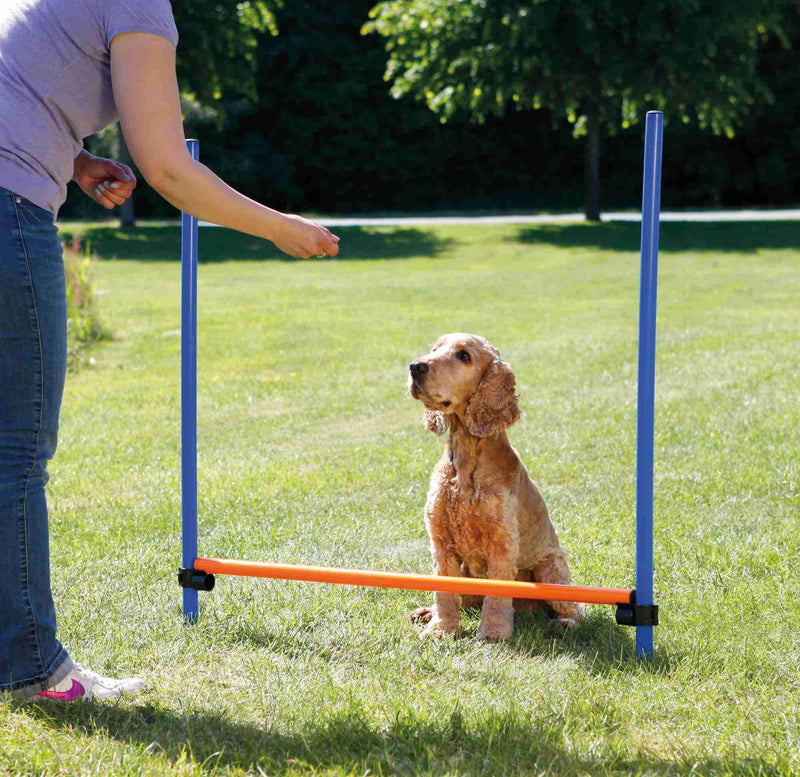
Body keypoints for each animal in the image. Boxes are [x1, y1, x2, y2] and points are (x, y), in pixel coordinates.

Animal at [410, 330, 584, 640]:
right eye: (434, 348)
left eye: (464, 355)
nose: (415, 367)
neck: (466, 463)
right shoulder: (441, 541)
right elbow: (444, 590)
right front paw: (441, 629)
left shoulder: (502, 543)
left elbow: (497, 593)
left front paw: (492, 633)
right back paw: (426, 612)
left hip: (551, 564)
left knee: (575, 608)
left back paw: (564, 623)